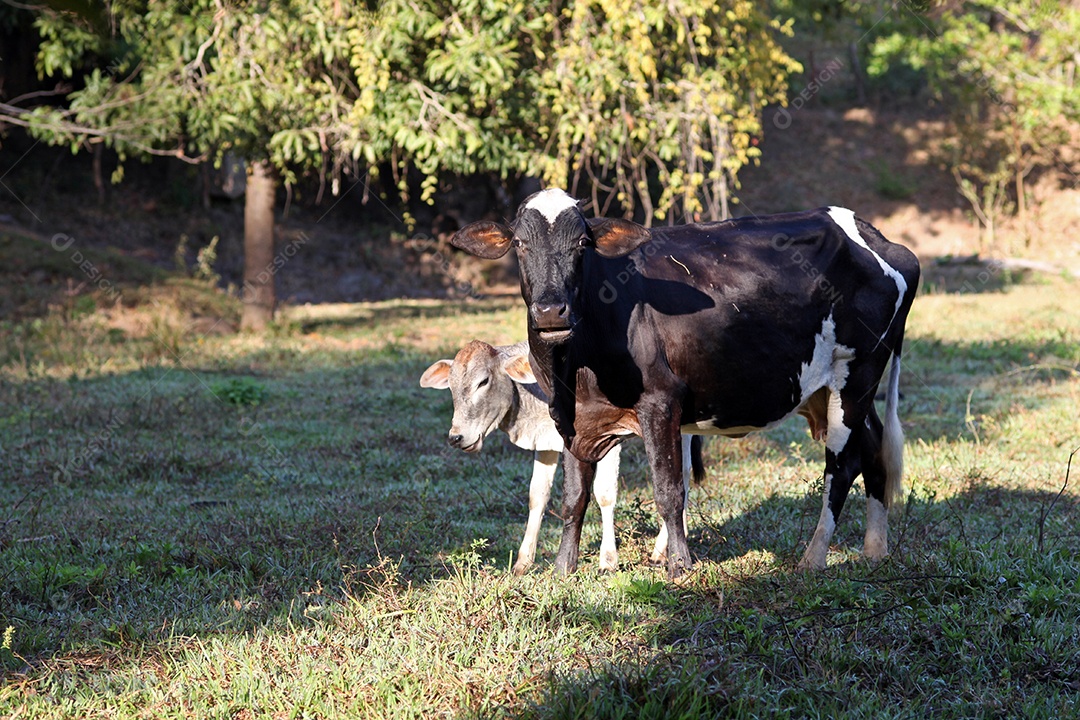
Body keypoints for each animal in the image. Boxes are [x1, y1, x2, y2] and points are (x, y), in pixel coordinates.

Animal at [420, 339, 703, 574]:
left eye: (483, 381)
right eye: (451, 387)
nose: (456, 437)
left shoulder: (610, 440)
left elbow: (604, 495)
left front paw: (608, 561)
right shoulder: (545, 445)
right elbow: (537, 496)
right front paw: (523, 562)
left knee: (682, 477)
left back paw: (662, 550)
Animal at [450, 189, 920, 579]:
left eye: (583, 244)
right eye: (519, 244)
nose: (551, 311)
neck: (576, 367)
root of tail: (876, 237)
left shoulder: (661, 402)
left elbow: (668, 490)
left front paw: (679, 564)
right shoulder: (570, 417)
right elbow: (573, 496)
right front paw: (564, 567)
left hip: (854, 375)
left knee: (841, 466)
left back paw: (814, 556)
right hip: (844, 390)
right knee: (874, 448)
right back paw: (874, 550)